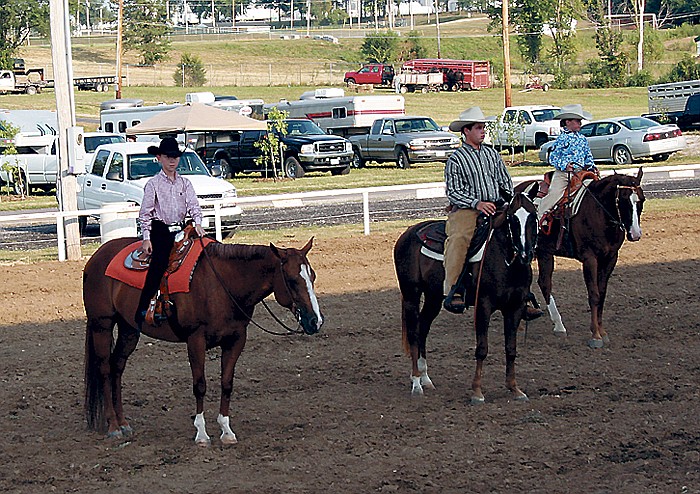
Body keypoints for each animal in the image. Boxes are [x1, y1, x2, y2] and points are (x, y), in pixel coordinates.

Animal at [84, 237, 322, 446]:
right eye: (292, 280)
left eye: (313, 276)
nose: (315, 321)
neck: (222, 284)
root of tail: (97, 256)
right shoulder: (195, 340)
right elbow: (200, 385)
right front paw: (201, 434)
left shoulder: (236, 340)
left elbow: (227, 383)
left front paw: (226, 431)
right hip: (102, 324)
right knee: (105, 368)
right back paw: (113, 426)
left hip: (128, 328)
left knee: (117, 366)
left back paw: (124, 423)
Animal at [396, 191, 540, 404]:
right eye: (512, 218)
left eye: (534, 217)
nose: (525, 254)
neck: (506, 262)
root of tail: (408, 233)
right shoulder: (483, 305)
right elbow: (482, 348)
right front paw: (477, 392)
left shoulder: (515, 307)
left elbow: (511, 349)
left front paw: (514, 389)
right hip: (410, 295)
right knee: (414, 333)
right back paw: (416, 383)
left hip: (433, 297)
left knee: (423, 329)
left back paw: (426, 379)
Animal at [520, 169, 644, 348]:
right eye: (622, 199)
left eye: (642, 199)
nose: (635, 234)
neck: (598, 212)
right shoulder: (589, 259)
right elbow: (594, 294)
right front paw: (595, 336)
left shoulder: (610, 258)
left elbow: (602, 294)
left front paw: (602, 332)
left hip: (545, 253)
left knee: (545, 283)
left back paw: (559, 326)